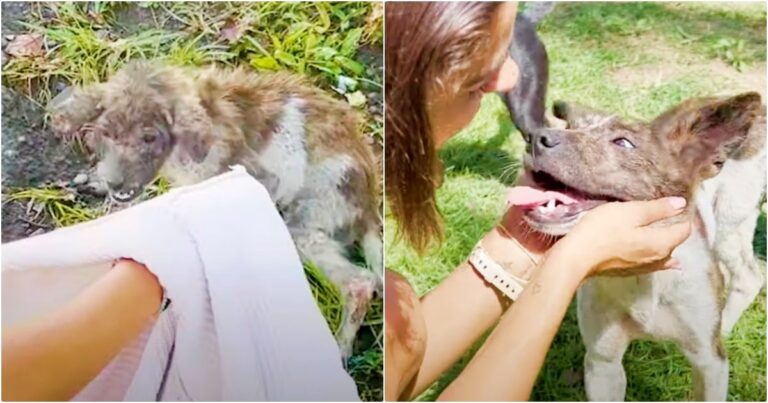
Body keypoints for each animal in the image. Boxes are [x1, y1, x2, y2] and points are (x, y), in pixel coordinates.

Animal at [46, 60, 382, 362]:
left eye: (149, 137)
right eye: (108, 134)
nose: (115, 182)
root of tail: (369, 202)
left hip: (303, 222)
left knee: (361, 283)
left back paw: (340, 349)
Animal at [508, 6, 764, 400]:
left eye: (623, 143)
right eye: (572, 129)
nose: (536, 138)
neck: (643, 280)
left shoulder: (710, 362)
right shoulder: (603, 362)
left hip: (731, 221)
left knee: (750, 275)